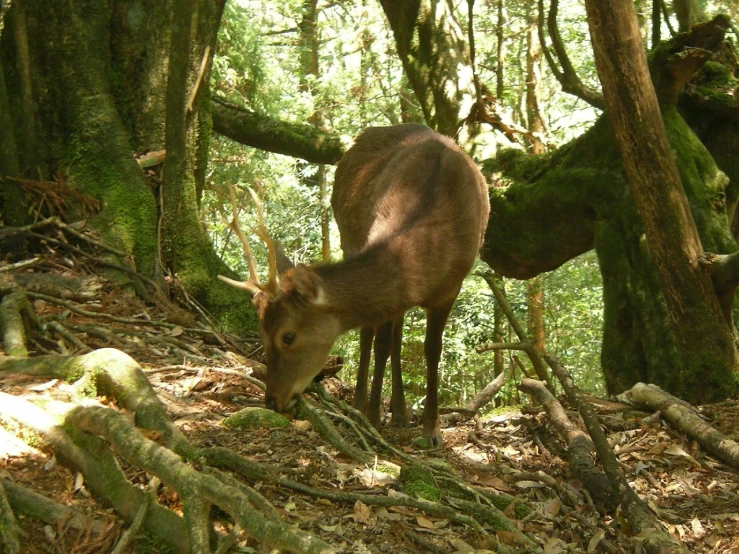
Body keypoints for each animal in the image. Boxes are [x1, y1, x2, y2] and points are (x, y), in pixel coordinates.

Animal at [220, 122, 492, 444]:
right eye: (261, 332)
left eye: (287, 336)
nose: (272, 400)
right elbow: (381, 345)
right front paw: (373, 418)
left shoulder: (452, 287)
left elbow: (432, 350)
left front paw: (432, 430)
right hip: (348, 236)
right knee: (372, 337)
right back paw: (367, 405)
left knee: (394, 337)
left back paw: (400, 413)